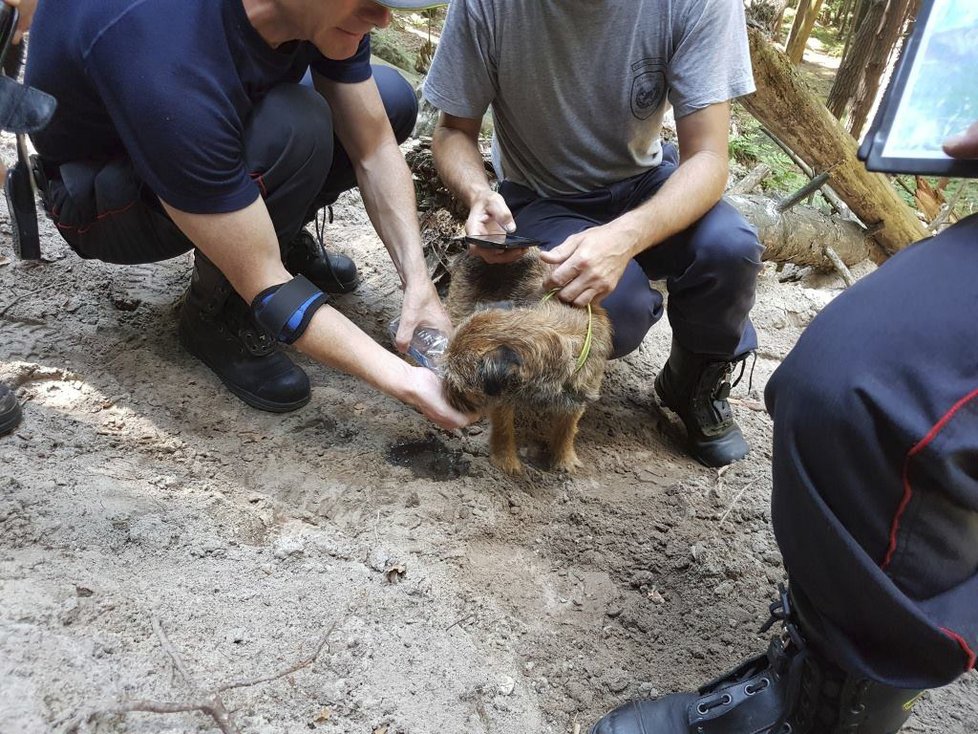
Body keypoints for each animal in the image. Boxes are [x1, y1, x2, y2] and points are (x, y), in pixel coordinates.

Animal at [442, 250, 608, 474]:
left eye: (457, 385)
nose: (444, 392)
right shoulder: (502, 396)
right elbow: (504, 426)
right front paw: (505, 461)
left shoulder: (578, 394)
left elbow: (568, 426)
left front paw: (565, 458)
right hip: (459, 307)